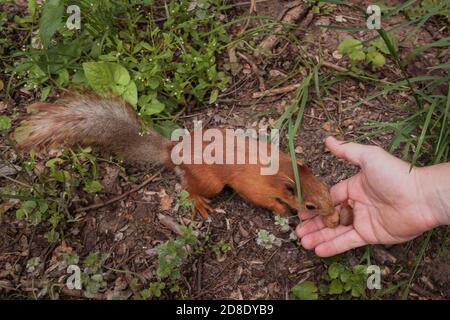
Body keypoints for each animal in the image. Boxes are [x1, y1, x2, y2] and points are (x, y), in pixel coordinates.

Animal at [13, 92, 344, 228]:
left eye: (326, 189)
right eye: (310, 205)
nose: (335, 216)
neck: (283, 171)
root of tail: (174, 150)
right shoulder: (254, 186)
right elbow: (262, 199)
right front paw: (281, 209)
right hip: (211, 183)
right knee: (188, 188)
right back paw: (198, 203)